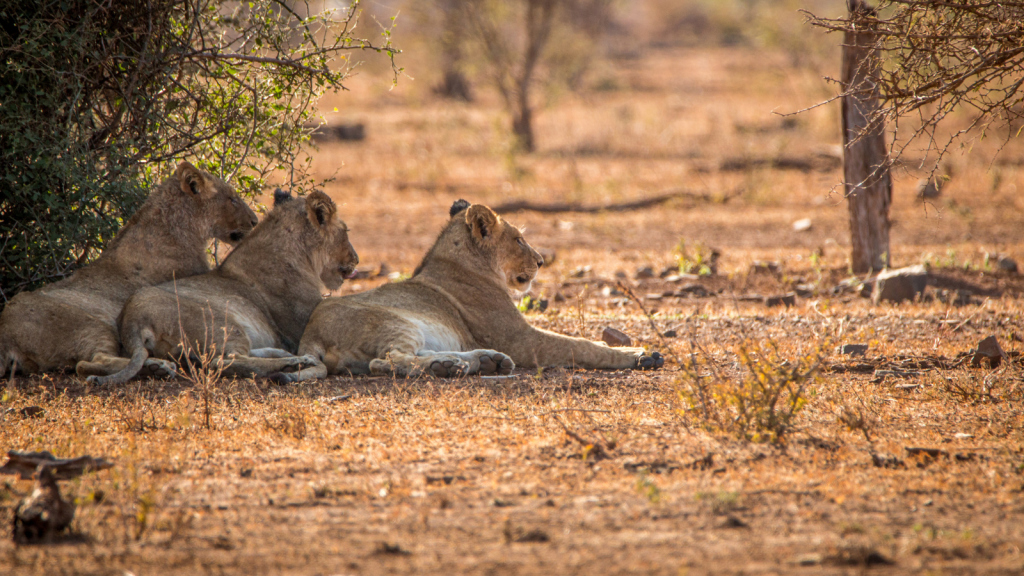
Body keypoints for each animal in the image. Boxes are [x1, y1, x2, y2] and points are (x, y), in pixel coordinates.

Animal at [0, 158, 256, 379]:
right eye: (232, 199)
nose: (254, 221)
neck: (177, 225)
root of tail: (6, 335)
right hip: (94, 324)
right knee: (94, 362)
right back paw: (158, 366)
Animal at [89, 188, 360, 383]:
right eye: (346, 231)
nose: (357, 259)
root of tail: (131, 320)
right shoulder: (305, 321)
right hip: (224, 322)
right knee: (225, 361)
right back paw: (294, 362)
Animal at [280, 198, 663, 381]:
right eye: (519, 239)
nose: (541, 261)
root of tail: (310, 336)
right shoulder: (520, 339)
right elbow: (579, 345)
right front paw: (638, 354)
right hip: (395, 322)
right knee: (387, 360)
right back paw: (450, 368)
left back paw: (480, 362)